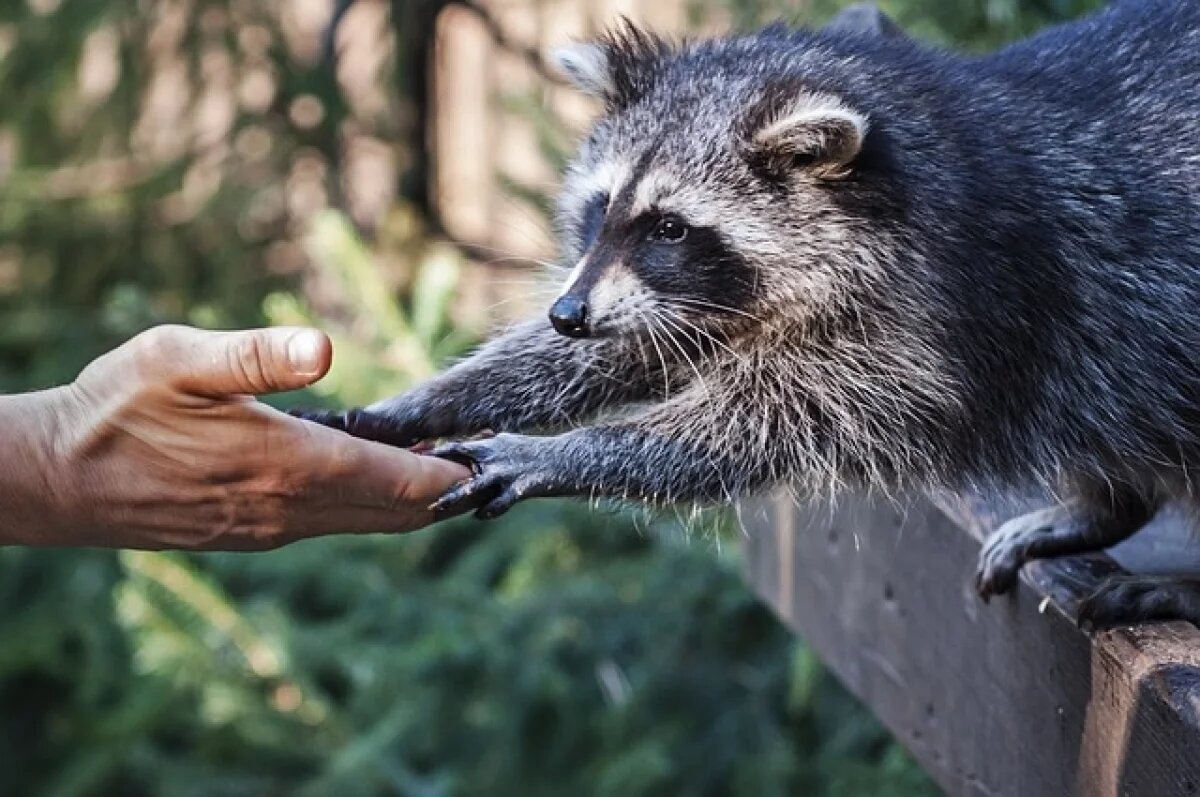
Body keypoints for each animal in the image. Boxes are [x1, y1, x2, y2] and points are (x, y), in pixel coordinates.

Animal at [290, 3, 1200, 633]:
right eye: (602, 208)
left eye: (669, 227)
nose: (567, 313)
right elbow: (635, 347)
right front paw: (428, 398)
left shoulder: (937, 316)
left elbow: (773, 420)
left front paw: (563, 451)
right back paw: (1105, 505)